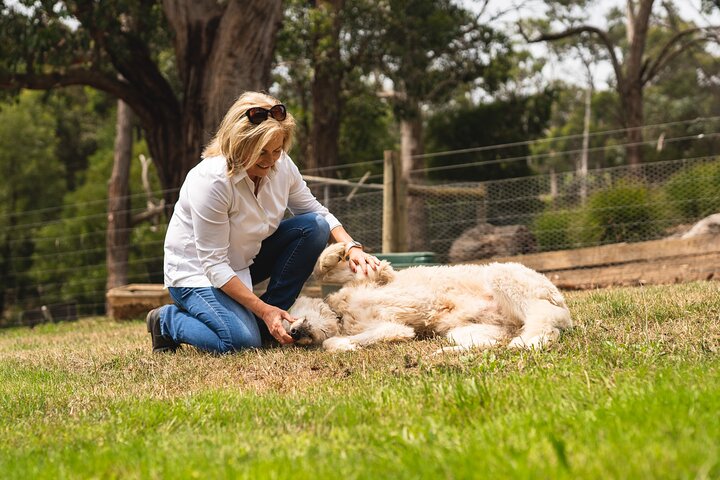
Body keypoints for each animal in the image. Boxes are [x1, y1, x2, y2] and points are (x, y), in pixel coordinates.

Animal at [286, 244, 572, 352]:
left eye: (288, 315)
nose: (294, 333)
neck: (342, 315)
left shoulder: (377, 275)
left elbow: (323, 269)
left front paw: (334, 252)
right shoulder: (394, 328)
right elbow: (331, 342)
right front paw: (344, 345)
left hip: (501, 276)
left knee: (543, 319)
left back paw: (529, 341)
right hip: (466, 332)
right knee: (493, 343)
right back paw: (446, 352)